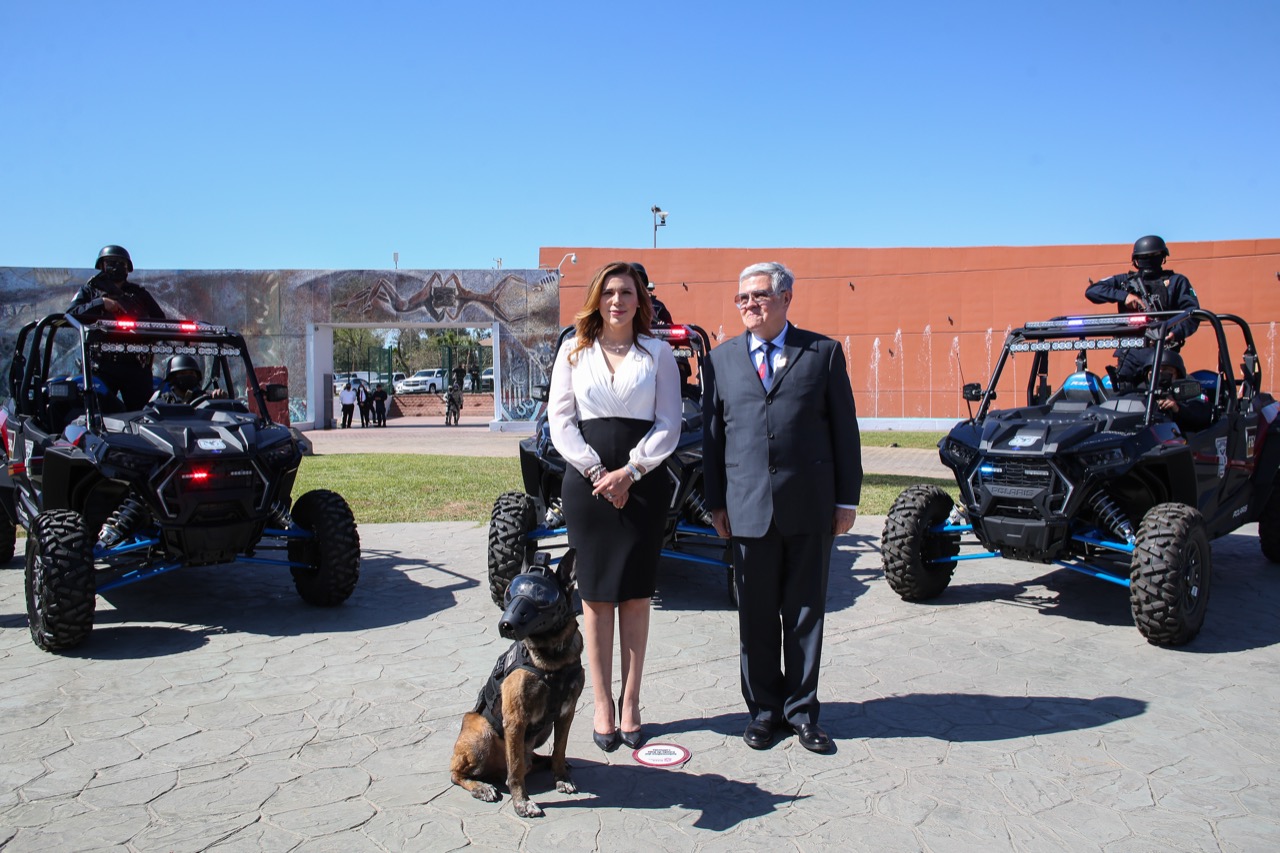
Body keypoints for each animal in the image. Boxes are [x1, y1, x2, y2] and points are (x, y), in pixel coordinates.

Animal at [450, 548, 586, 814]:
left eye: (541, 595)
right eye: (511, 591)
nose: (506, 624)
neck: (551, 659)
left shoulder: (566, 713)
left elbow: (560, 748)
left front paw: (561, 776)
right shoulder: (515, 720)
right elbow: (514, 771)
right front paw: (522, 802)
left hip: (539, 734)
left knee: (533, 759)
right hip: (481, 733)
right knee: (457, 774)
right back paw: (481, 787)